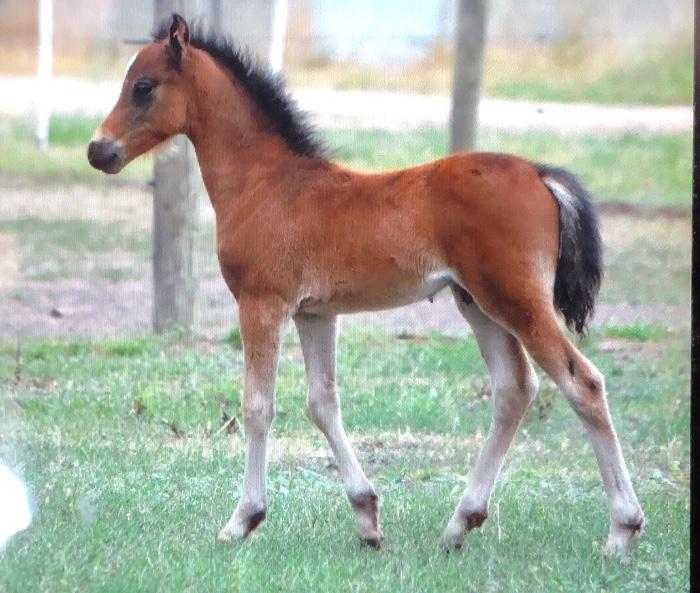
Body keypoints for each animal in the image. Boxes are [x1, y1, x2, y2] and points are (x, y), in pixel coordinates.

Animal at [87, 14, 644, 556]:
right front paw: (367, 518)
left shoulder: (262, 303)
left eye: (143, 86)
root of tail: (538, 173)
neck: (266, 185)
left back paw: (621, 529)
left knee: (581, 383)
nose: (98, 150)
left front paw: (243, 520)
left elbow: (258, 406)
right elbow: (322, 402)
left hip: (515, 299)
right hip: (477, 303)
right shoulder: (315, 312)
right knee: (514, 389)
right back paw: (459, 525)